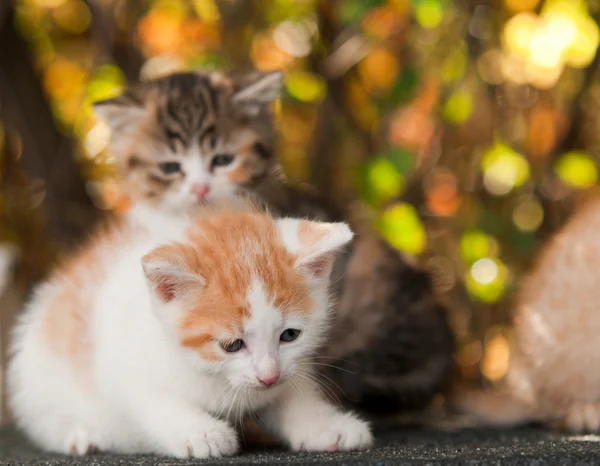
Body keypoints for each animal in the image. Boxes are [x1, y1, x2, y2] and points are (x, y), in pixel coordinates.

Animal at [7, 206, 370, 456]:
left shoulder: (288, 370)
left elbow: (292, 393)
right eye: (231, 345)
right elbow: (153, 399)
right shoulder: (121, 364)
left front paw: (327, 425)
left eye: (290, 335)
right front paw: (201, 433)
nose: (268, 376)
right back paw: (79, 435)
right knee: (44, 418)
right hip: (37, 376)